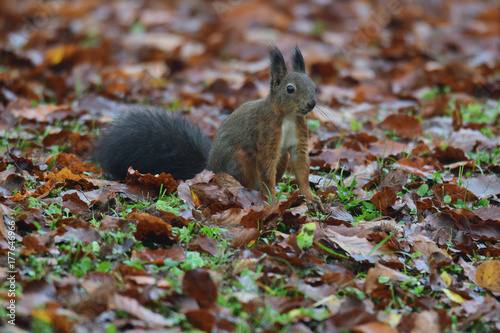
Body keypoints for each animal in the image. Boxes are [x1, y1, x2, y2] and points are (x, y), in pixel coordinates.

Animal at [94, 44, 326, 213]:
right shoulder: (266, 134)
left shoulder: (299, 138)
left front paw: (310, 197)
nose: (311, 104)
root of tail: (208, 170)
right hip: (238, 160)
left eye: (314, 86)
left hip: (278, 158)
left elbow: (301, 166)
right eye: (290, 89)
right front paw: (272, 200)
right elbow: (266, 170)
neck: (288, 116)